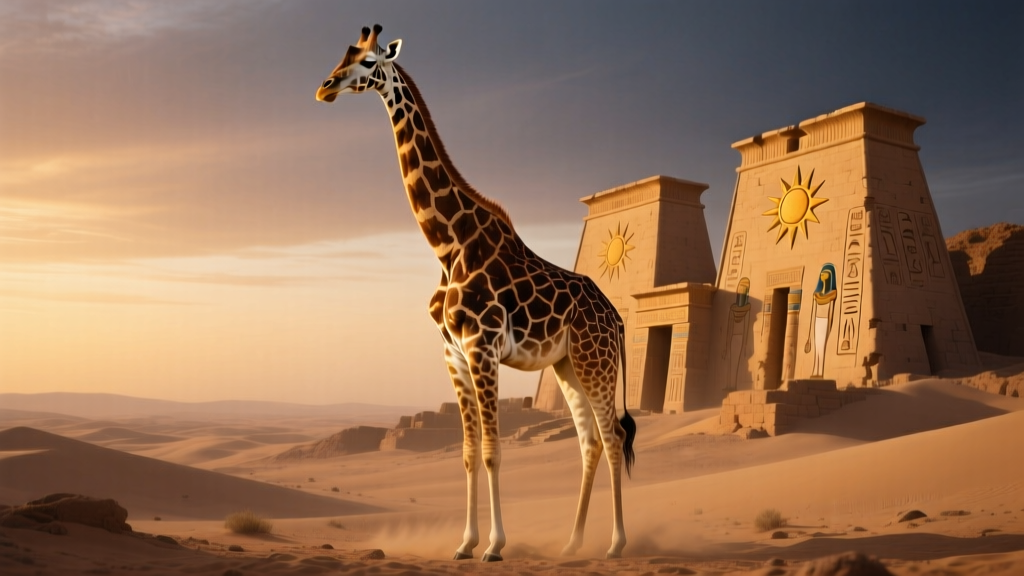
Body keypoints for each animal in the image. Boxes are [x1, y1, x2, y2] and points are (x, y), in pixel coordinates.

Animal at [315, 24, 636, 561]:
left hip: (597, 362)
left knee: (612, 437)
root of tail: (618, 320)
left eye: (369, 61)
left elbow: (491, 451)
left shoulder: (482, 347)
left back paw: (615, 545)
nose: (325, 87)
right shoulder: (453, 353)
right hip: (567, 365)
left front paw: (494, 546)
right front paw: (464, 544)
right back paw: (571, 543)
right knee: (589, 442)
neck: (448, 246)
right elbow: (467, 454)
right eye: (343, 54)